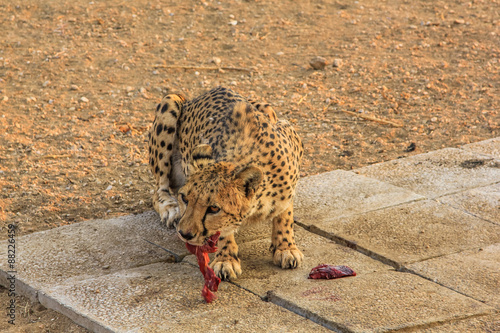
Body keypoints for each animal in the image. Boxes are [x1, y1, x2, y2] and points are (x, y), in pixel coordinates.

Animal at [147, 86, 304, 280]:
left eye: (214, 208)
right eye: (184, 198)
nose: (184, 233)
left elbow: (285, 213)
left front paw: (285, 247)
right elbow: (222, 232)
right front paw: (226, 259)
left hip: (268, 108)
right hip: (170, 102)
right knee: (158, 190)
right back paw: (169, 208)